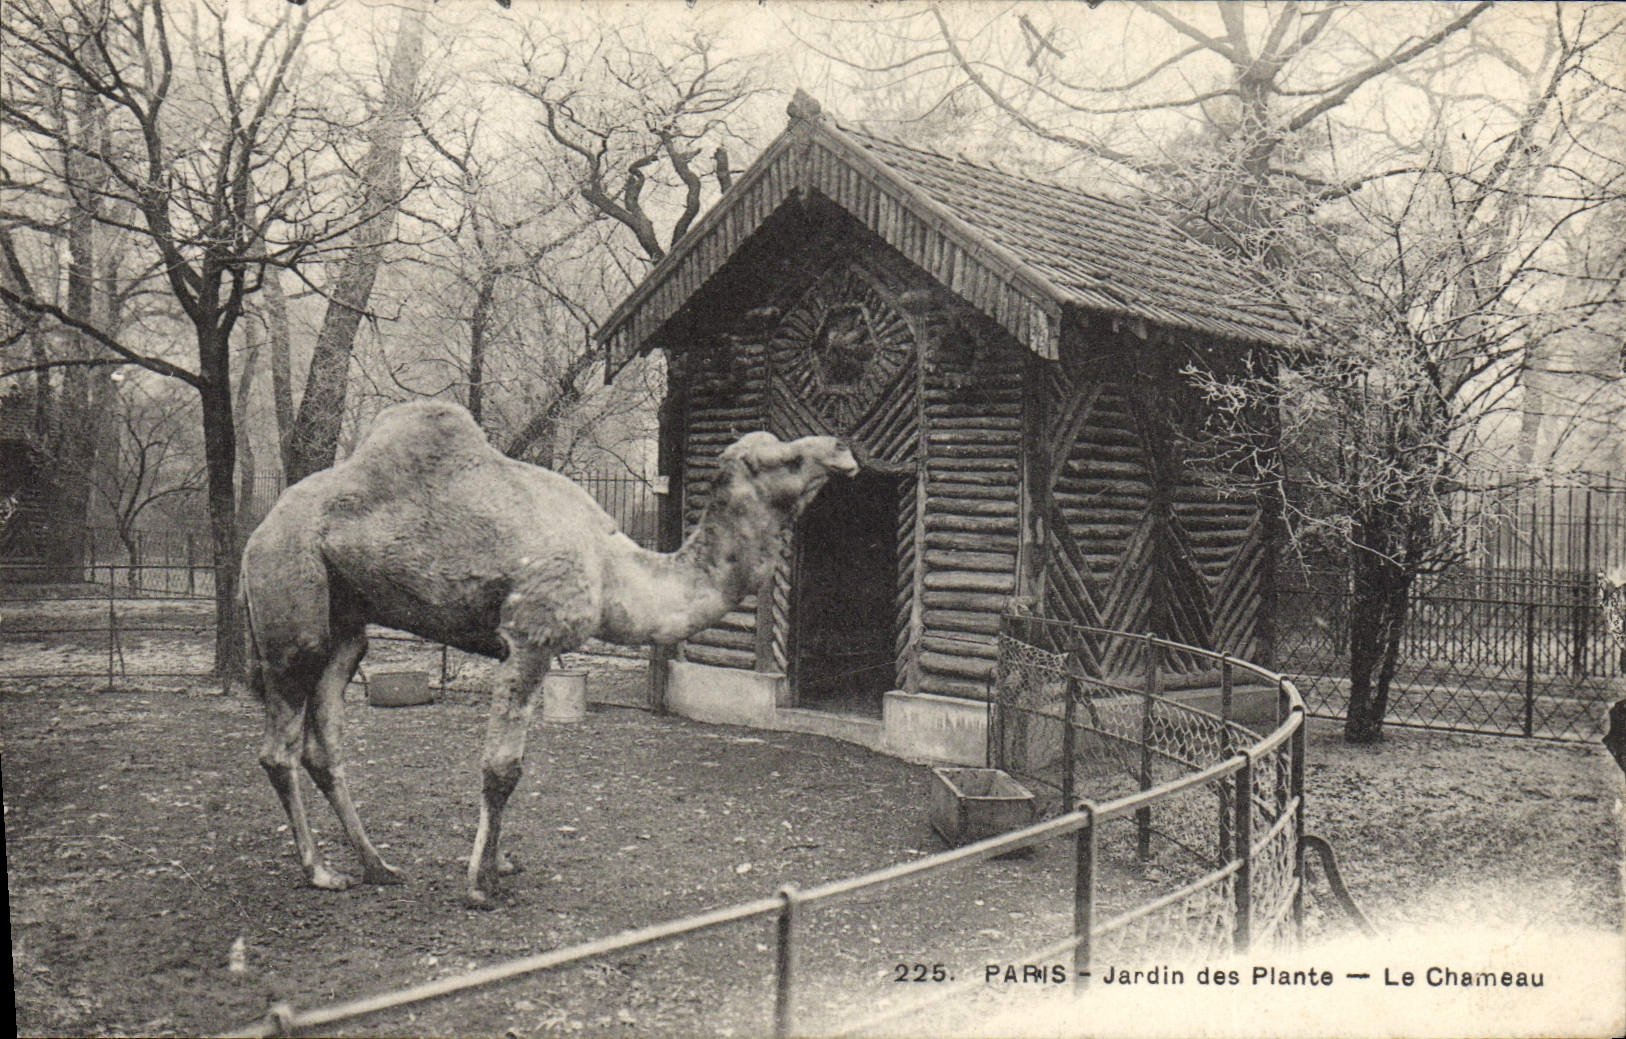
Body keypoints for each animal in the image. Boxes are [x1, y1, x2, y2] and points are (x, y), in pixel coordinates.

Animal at [241, 400, 858, 906]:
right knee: (279, 747)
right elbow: (503, 767)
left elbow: (513, 764)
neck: (614, 572)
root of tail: (258, 531)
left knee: (325, 744)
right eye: (783, 458)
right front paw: (481, 885)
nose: (842, 448)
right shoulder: (531, 636)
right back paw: (320, 872)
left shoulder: (522, 645)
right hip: (291, 606)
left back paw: (378, 867)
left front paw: (501, 863)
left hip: (346, 626)